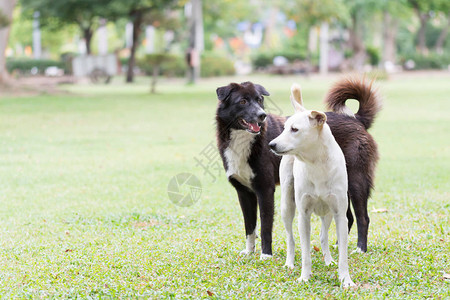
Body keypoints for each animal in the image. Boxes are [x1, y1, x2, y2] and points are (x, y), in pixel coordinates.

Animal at [216, 79, 382, 258]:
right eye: (243, 101)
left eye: (259, 100)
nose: (262, 115)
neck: (245, 140)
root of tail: (356, 119)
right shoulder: (243, 192)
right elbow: (249, 226)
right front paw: (249, 251)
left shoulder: (265, 190)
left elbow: (265, 226)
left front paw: (265, 255)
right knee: (348, 217)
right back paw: (338, 245)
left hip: (356, 181)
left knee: (362, 218)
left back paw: (360, 249)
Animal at [270, 83, 356, 288]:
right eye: (284, 128)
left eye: (294, 129)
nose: (271, 144)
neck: (316, 164)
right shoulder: (304, 214)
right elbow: (305, 252)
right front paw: (305, 276)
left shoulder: (340, 214)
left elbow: (343, 255)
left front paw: (345, 279)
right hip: (287, 206)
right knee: (291, 239)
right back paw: (290, 262)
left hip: (328, 213)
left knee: (324, 236)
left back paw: (328, 260)